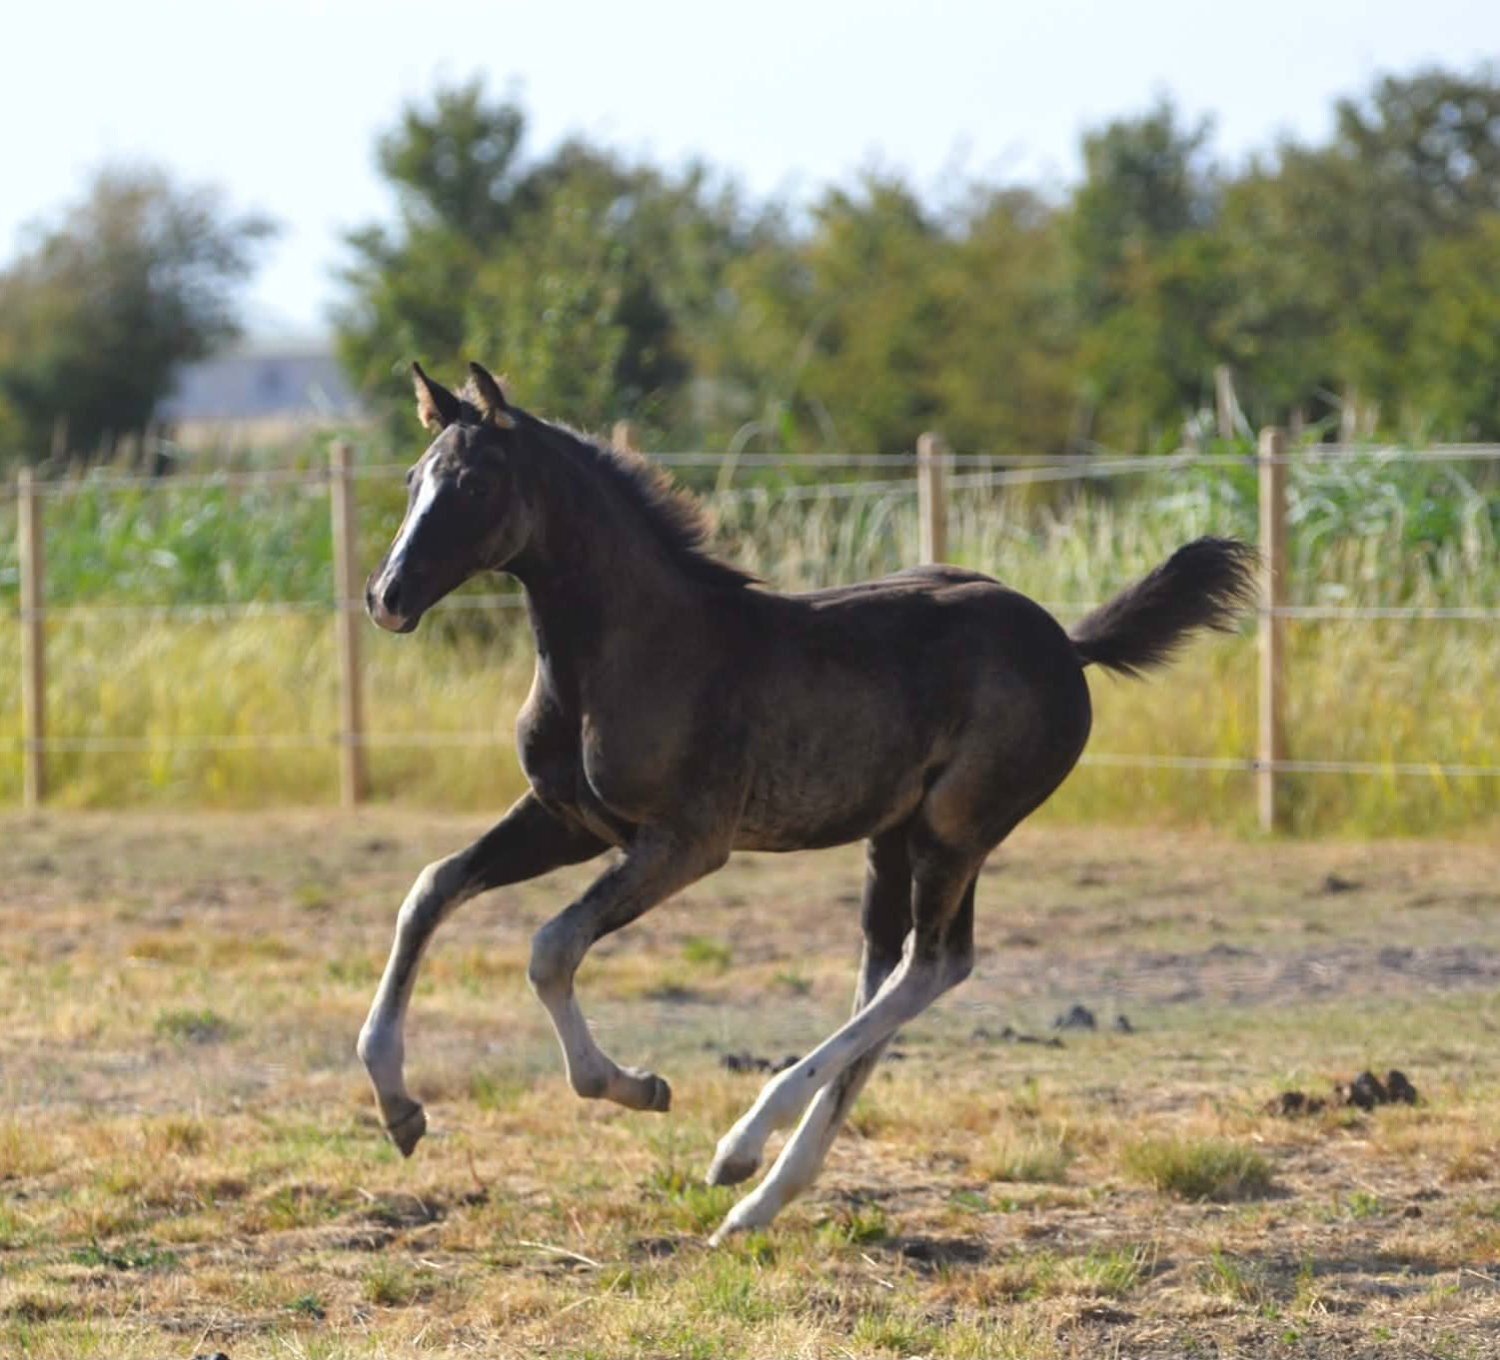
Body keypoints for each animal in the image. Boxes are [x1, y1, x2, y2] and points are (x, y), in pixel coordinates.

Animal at [355, 361, 1257, 1242]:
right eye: (411, 479)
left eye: (475, 484)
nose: (386, 597)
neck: (629, 652)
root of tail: (1069, 646)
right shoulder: (568, 820)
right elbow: (430, 889)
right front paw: (399, 1108)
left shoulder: (686, 842)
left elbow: (551, 945)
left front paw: (633, 1085)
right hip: (893, 839)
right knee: (885, 976)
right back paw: (759, 1203)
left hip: (956, 830)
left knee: (934, 965)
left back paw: (740, 1150)